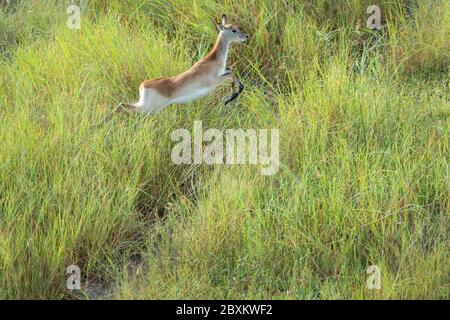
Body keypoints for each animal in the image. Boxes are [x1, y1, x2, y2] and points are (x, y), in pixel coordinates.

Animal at [120, 15, 250, 115]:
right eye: (233, 30)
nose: (246, 36)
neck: (213, 59)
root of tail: (143, 85)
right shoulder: (214, 81)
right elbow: (231, 75)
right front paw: (231, 97)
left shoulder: (223, 71)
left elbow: (231, 71)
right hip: (148, 108)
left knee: (122, 105)